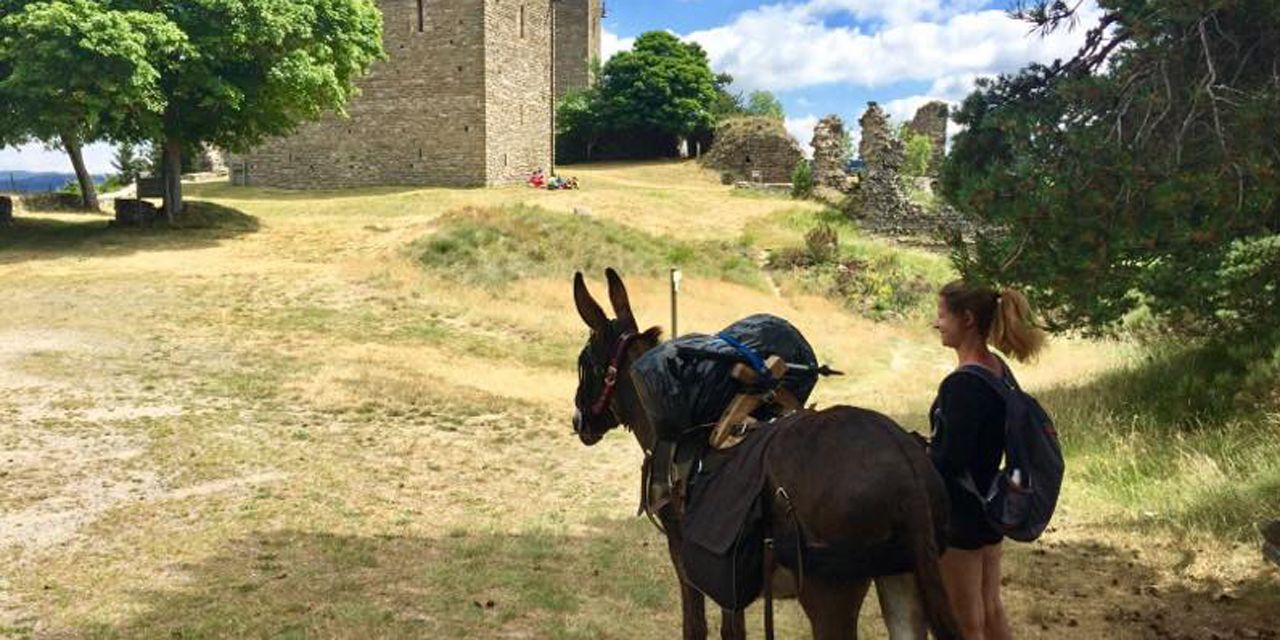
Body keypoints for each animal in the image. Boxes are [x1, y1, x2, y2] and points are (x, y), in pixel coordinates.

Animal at [570, 268, 964, 640]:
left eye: (584, 364)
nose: (578, 421)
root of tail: (906, 468)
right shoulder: (722, 571)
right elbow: (733, 629)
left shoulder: (684, 551)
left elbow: (696, 627)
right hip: (900, 576)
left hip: (829, 594)